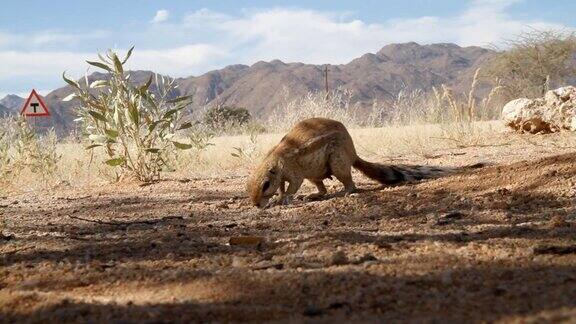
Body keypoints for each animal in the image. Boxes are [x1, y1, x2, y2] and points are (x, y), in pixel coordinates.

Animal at [248, 117, 482, 208]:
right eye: (248, 187)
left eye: (265, 185)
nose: (257, 205)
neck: (275, 160)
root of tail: (353, 154)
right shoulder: (283, 175)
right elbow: (283, 186)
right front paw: (279, 197)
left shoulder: (294, 172)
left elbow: (293, 186)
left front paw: (284, 198)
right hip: (315, 174)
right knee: (323, 189)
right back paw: (313, 195)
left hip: (338, 163)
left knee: (350, 184)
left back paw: (345, 192)